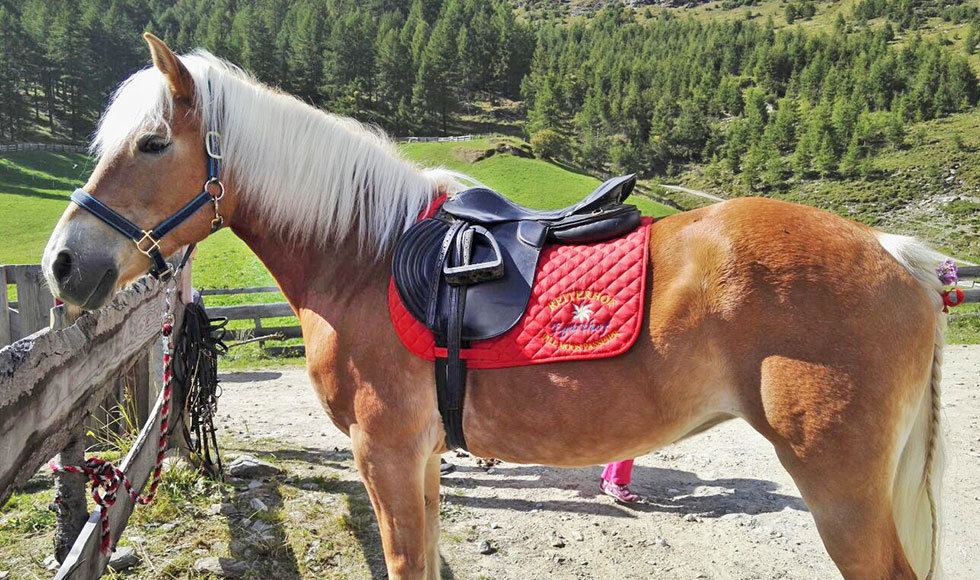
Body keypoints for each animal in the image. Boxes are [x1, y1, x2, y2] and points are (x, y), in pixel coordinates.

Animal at [42, 34, 944, 576]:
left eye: (153, 142)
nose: (63, 264)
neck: (363, 254)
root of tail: (897, 256)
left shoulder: (386, 453)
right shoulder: (420, 459)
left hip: (841, 490)